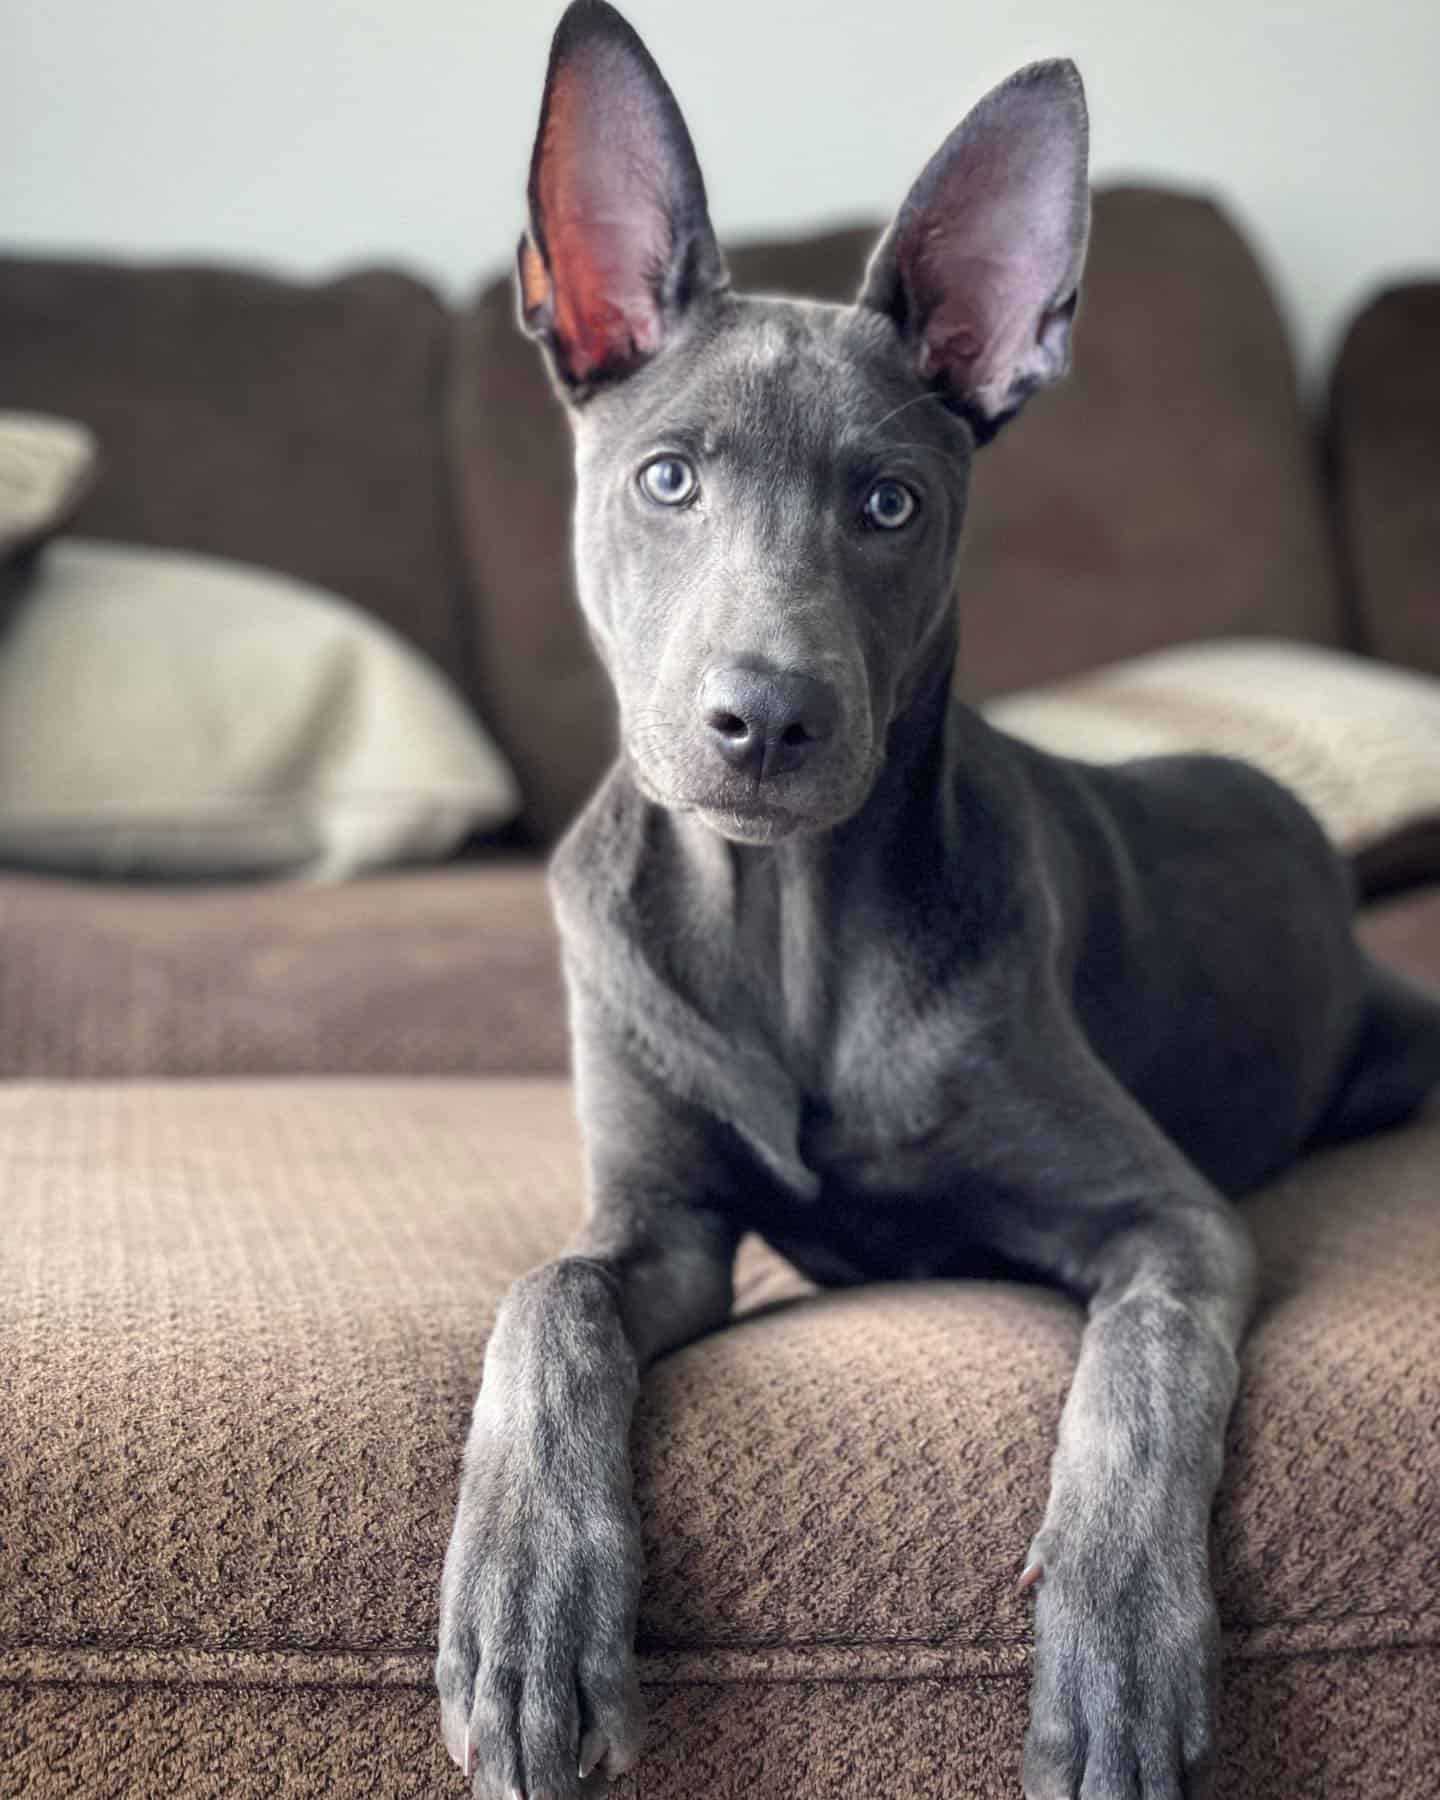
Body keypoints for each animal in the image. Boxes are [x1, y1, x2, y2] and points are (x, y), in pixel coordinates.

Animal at [433, 7, 1440, 1792]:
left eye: (889, 501)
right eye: (669, 480)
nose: (765, 722)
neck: (784, 923)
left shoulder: (1169, 1218)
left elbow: (1142, 1379)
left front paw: (1119, 1652)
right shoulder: (662, 1224)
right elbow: (550, 1300)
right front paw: (528, 1604)